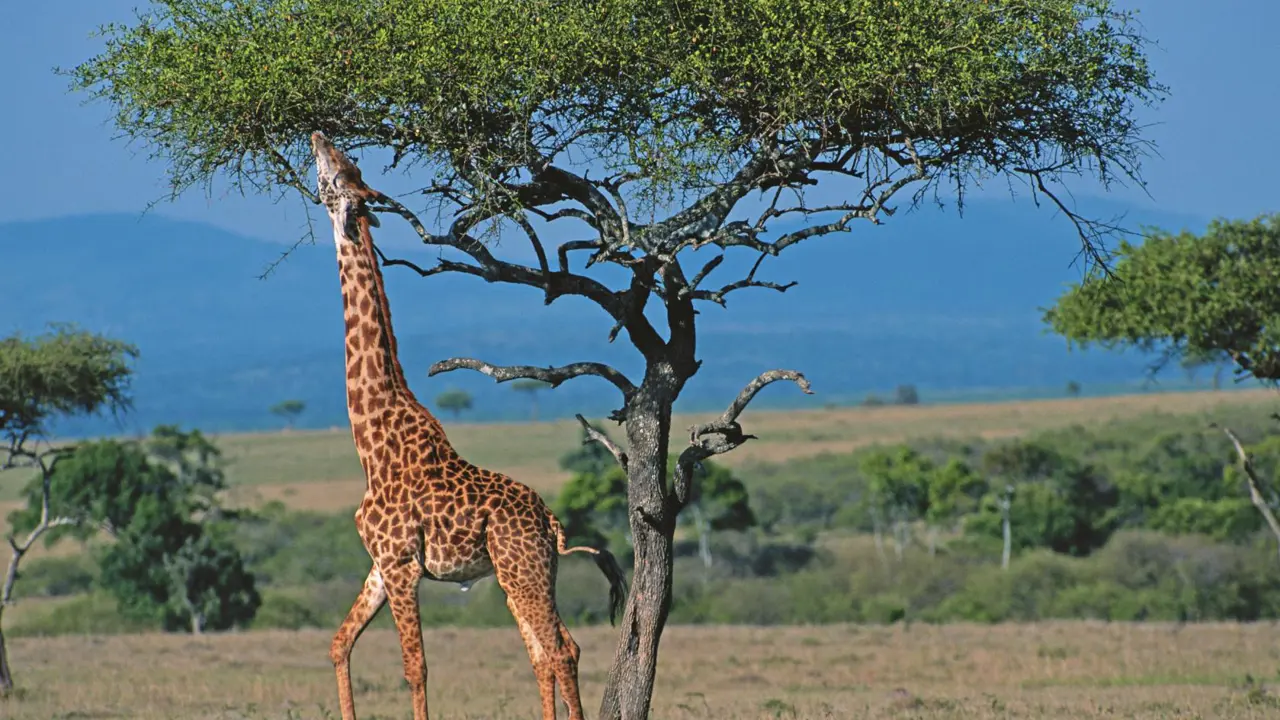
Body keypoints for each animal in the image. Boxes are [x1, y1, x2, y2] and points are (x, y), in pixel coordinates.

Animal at [309, 131, 629, 717]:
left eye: (341, 172)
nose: (319, 136)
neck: (372, 442)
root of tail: (551, 522)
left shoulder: (402, 564)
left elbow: (415, 668)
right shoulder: (380, 564)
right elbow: (339, 643)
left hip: (522, 569)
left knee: (562, 649)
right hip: (518, 572)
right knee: (544, 653)